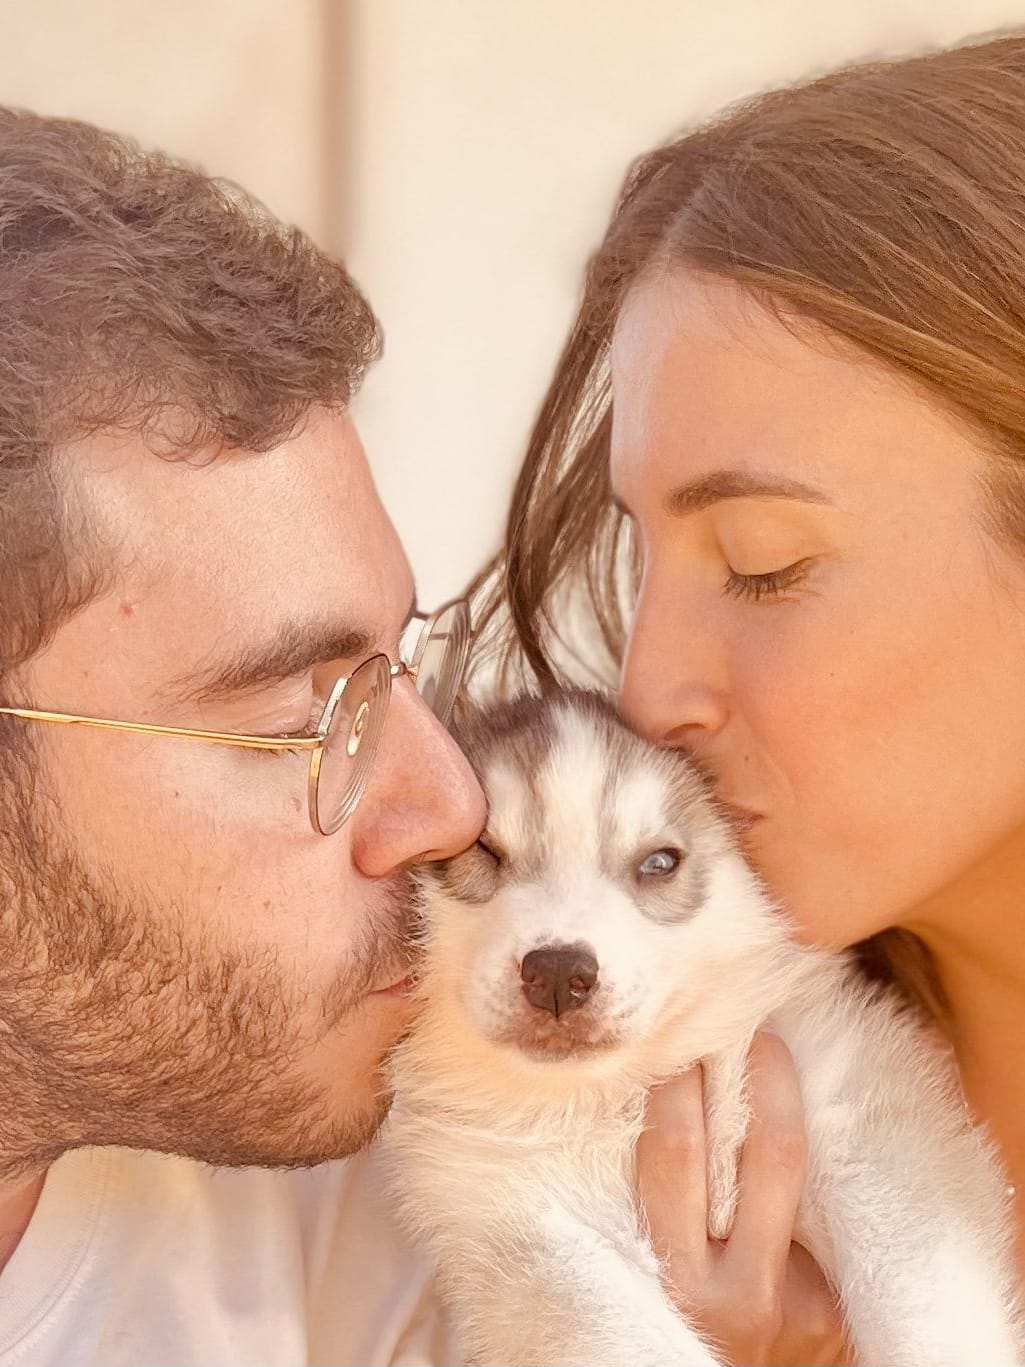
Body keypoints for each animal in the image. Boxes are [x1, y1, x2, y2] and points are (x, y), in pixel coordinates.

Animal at [382, 694, 1022, 1367]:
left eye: (659, 863)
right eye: (484, 849)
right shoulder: (523, 1228)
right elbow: (626, 1336)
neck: (618, 1094)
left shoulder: (853, 1111)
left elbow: (925, 1301)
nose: (558, 972)